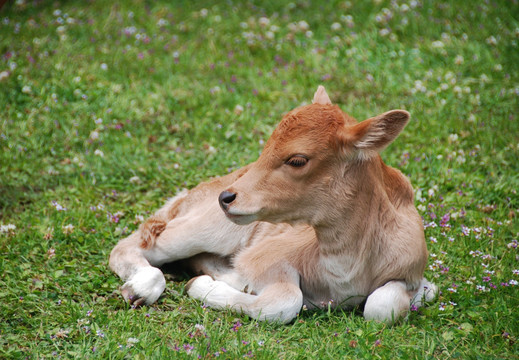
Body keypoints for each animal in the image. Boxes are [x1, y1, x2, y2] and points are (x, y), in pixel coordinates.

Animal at [109, 86, 438, 324]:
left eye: (297, 160)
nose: (227, 198)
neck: (345, 270)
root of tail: (193, 193)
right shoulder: (266, 256)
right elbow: (284, 302)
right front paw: (200, 286)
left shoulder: (411, 266)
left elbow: (386, 306)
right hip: (208, 227)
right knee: (132, 245)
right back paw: (140, 288)